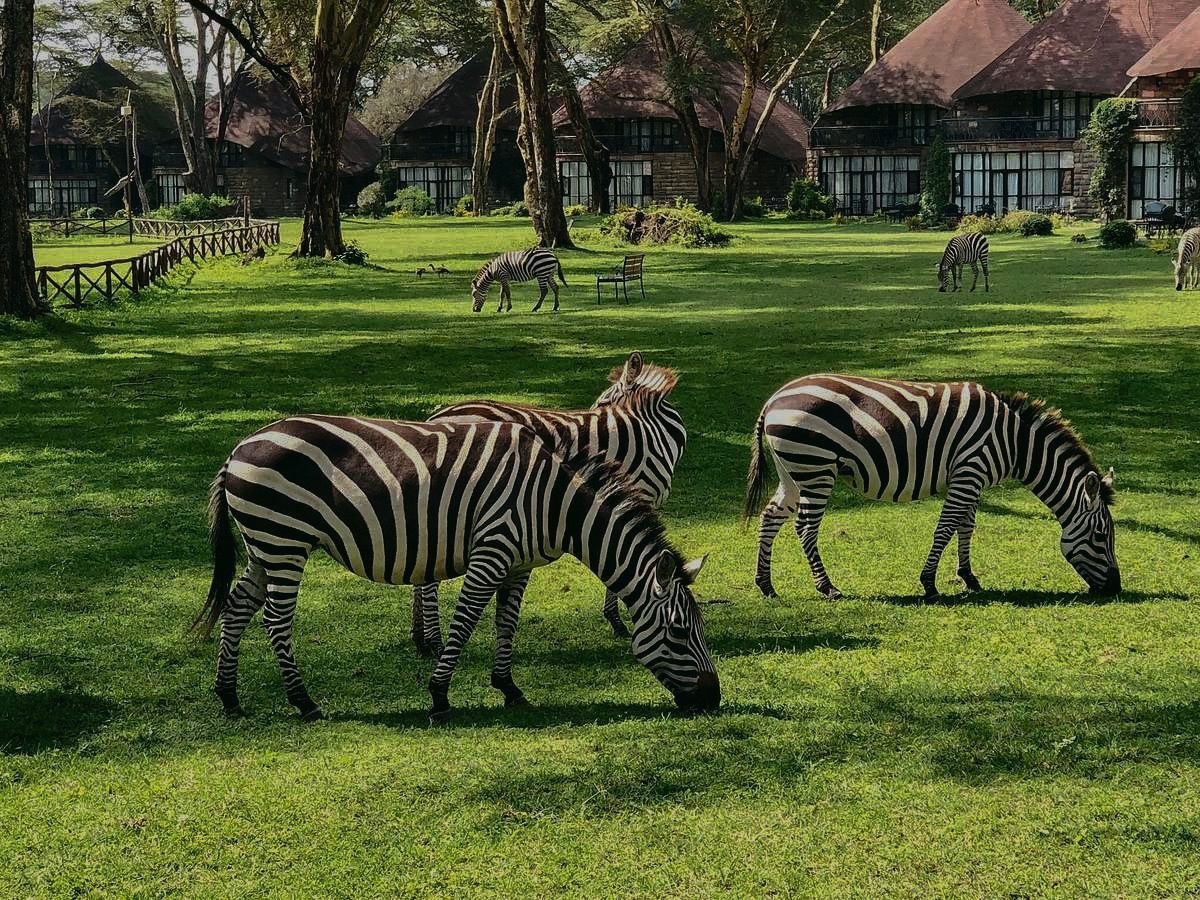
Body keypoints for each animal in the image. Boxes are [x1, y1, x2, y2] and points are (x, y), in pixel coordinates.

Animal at [193, 417, 715, 724]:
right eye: (678, 632)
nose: (715, 699)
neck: (553, 505)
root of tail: (238, 449)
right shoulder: (492, 550)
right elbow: (465, 622)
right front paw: (440, 694)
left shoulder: (518, 564)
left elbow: (507, 623)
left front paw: (509, 687)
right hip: (285, 540)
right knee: (275, 620)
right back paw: (303, 702)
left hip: (265, 544)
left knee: (237, 608)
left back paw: (229, 697)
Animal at [412, 350, 691, 657]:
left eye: (603, 403)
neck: (650, 430)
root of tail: (435, 418)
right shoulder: (636, 494)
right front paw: (617, 620)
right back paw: (434, 641)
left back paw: (420, 638)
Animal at [744, 376, 1118, 602]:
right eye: (1101, 536)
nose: (1115, 588)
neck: (1015, 443)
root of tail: (773, 399)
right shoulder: (969, 472)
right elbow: (946, 527)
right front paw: (929, 584)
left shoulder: (972, 477)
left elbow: (967, 526)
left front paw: (969, 578)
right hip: (816, 467)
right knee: (805, 527)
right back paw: (827, 587)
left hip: (794, 470)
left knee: (770, 517)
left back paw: (766, 585)